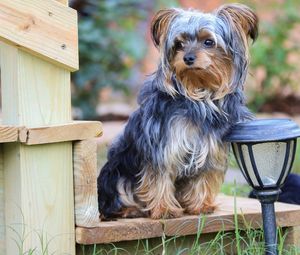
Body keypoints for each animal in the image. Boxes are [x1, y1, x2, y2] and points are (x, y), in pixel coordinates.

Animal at [98, 3, 258, 219]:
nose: (188, 58)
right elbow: (160, 177)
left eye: (209, 42)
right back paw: (129, 209)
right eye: (179, 44)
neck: (200, 94)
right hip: (116, 173)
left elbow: (203, 176)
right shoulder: (163, 145)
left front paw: (200, 206)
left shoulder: (210, 147)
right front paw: (164, 210)